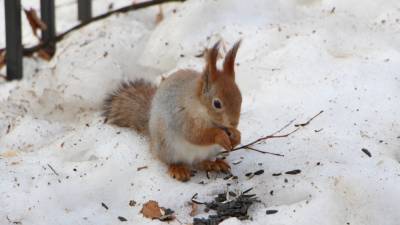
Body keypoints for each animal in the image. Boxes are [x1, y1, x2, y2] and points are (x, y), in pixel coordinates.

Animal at [103, 40, 241, 181]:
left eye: (240, 97)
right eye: (217, 104)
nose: (234, 123)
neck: (201, 107)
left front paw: (237, 136)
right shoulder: (184, 117)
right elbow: (195, 135)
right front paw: (220, 136)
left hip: (207, 151)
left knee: (200, 162)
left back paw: (213, 163)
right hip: (168, 146)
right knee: (169, 161)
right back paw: (177, 168)